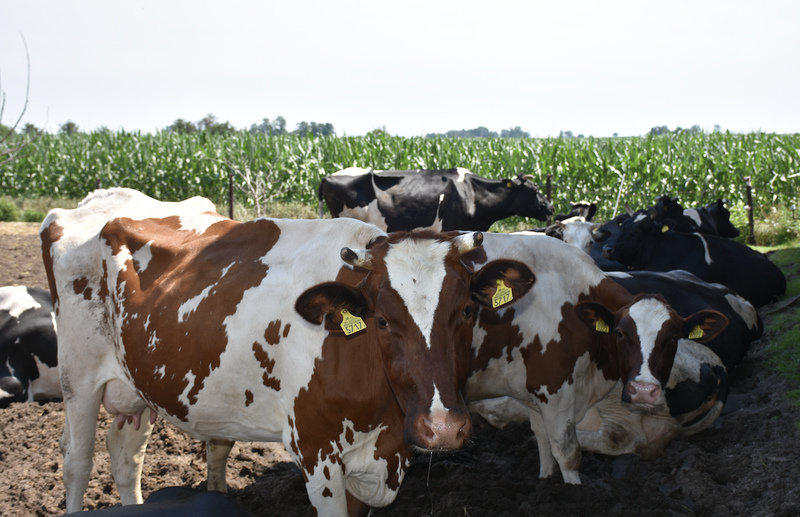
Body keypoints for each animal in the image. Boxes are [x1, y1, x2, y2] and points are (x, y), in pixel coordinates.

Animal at [40, 187, 536, 512]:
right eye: (381, 320)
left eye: (467, 311)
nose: (442, 427)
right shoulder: (318, 457)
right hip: (78, 379)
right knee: (77, 460)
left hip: (139, 384)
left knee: (126, 455)